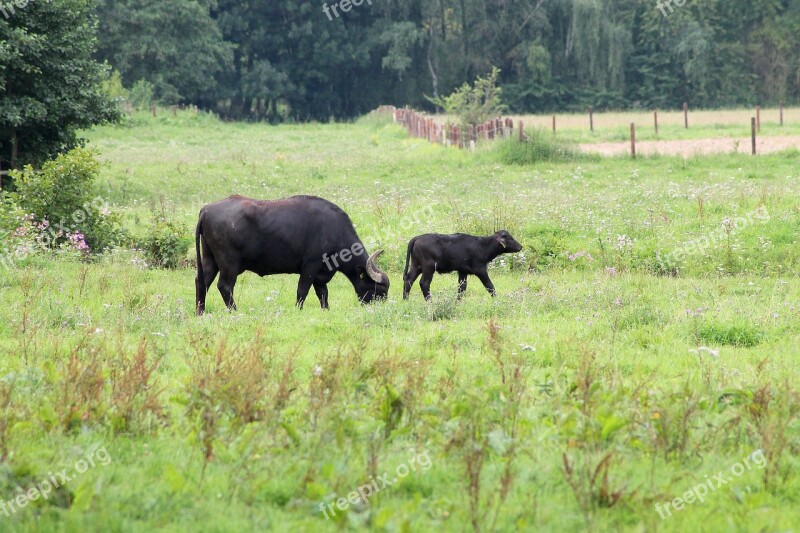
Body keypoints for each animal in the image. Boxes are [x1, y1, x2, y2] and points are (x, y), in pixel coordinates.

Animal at [197, 194, 390, 312]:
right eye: (380, 289)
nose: (382, 307)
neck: (335, 230)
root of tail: (206, 210)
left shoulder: (321, 274)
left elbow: (323, 294)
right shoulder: (310, 266)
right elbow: (302, 290)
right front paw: (299, 309)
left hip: (209, 260)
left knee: (202, 282)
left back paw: (200, 311)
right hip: (229, 264)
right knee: (224, 286)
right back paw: (235, 311)